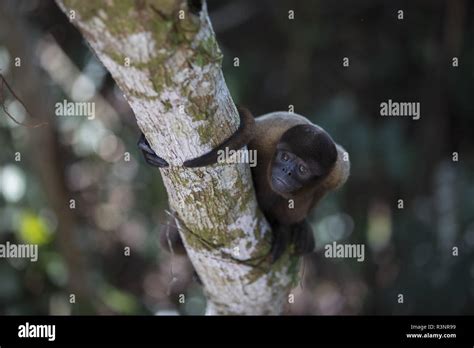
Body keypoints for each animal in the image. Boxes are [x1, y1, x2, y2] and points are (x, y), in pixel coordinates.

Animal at [137, 106, 348, 260]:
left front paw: (290, 226)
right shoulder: (266, 137)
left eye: (302, 169)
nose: (286, 171)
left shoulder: (338, 173)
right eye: (285, 157)